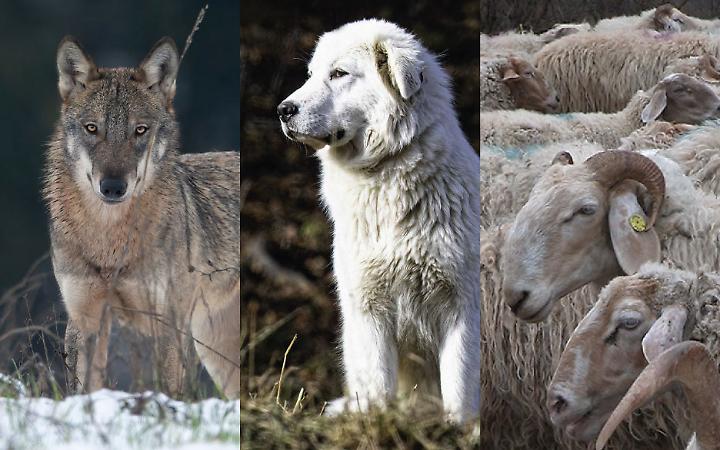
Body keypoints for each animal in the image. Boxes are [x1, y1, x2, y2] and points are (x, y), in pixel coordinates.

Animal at [45, 36, 240, 397]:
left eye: (139, 130)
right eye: (92, 128)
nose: (112, 187)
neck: (109, 242)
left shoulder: (167, 323)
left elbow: (168, 390)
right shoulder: (84, 318)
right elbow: (82, 390)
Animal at [278, 19, 480, 422]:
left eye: (338, 74)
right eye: (311, 75)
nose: (282, 110)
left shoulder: (461, 307)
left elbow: (459, 390)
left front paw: (458, 429)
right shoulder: (369, 309)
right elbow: (378, 388)